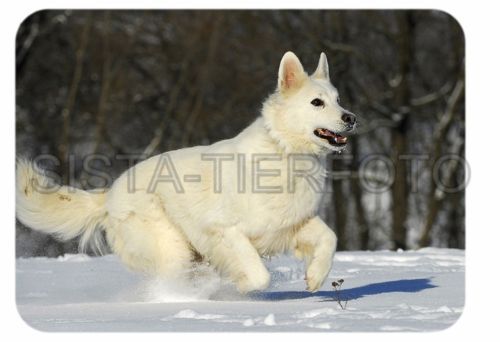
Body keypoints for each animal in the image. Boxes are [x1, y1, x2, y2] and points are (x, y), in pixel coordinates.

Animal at [16, 52, 356, 292]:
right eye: (316, 102)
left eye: (338, 100)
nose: (351, 117)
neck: (284, 150)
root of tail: (111, 192)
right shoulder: (224, 230)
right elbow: (258, 274)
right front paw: (241, 287)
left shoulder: (291, 223)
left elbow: (330, 238)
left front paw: (315, 277)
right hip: (171, 246)